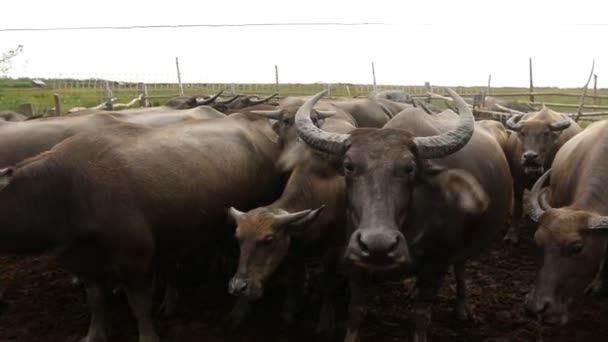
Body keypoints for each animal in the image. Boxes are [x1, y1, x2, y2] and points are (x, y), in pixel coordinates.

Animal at [0, 115, 284, 342]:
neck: (65, 193)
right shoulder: (83, 262)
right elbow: (95, 302)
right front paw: (94, 334)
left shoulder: (133, 261)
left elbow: (139, 305)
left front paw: (147, 336)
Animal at [294, 89, 512, 340]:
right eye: (348, 166)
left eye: (410, 168)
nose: (378, 244)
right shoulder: (357, 263)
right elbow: (356, 311)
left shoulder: (435, 265)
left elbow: (421, 317)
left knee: (460, 267)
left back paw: (461, 307)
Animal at [502, 107, 580, 243]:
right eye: (523, 133)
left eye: (546, 133)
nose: (530, 156)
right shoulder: (517, 182)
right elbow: (517, 207)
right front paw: (512, 233)